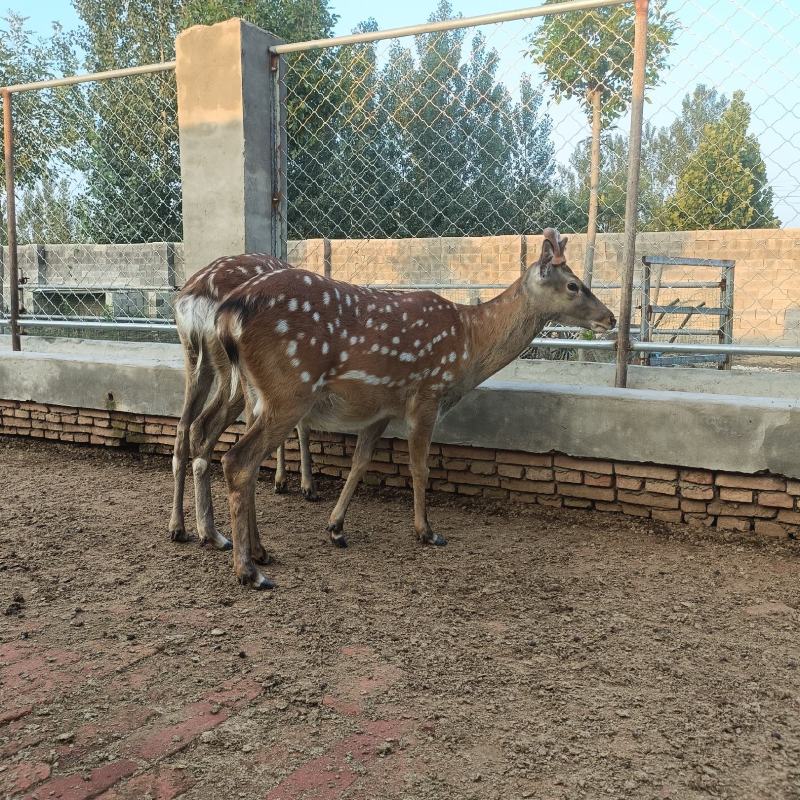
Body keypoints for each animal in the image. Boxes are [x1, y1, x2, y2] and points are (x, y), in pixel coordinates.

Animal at [168, 253, 317, 557]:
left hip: (193, 357)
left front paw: (283, 481)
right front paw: (305, 486)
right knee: (217, 436)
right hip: (234, 373)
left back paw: (187, 528)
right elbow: (302, 427)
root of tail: (195, 296)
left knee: (186, 426)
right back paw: (246, 544)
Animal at [213, 229, 616, 589]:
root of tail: (228, 314)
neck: (470, 342)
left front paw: (336, 528)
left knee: (247, 460)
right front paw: (427, 531)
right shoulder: (427, 393)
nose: (610, 318)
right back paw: (249, 571)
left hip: (256, 394)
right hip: (290, 389)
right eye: (573, 285)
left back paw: (261, 551)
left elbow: (360, 463)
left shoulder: (381, 409)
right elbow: (420, 468)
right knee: (237, 459)